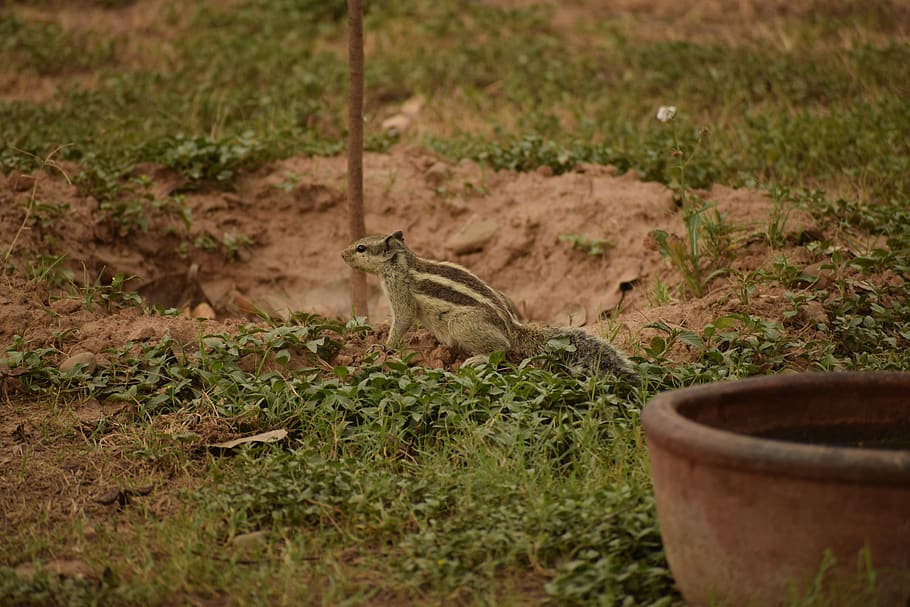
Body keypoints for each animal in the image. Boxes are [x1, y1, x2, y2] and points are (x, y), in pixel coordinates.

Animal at [342, 230, 639, 383]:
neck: (401, 262)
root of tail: (512, 327)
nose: (341, 254)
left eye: (361, 247)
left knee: (501, 350)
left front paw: (384, 347)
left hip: (460, 324)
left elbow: (401, 320)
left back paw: (477, 359)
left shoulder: (399, 293)